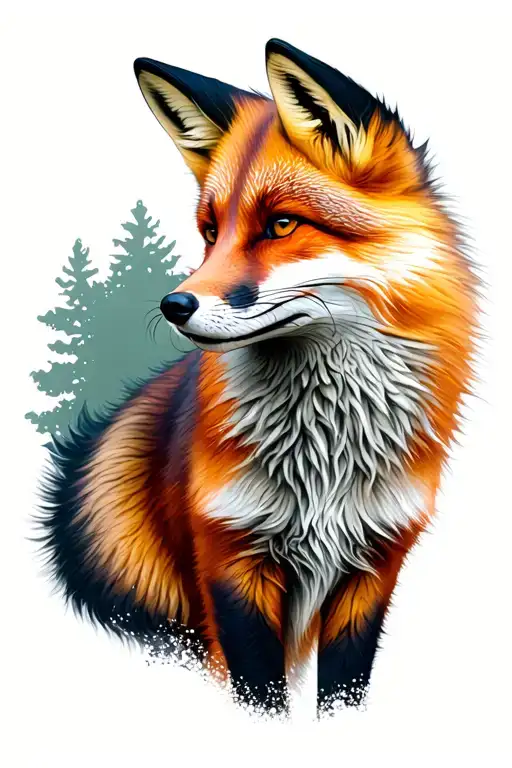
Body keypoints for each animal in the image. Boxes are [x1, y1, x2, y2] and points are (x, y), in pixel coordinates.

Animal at [39, 39, 478, 717]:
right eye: (210, 232)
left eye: (281, 225)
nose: (173, 305)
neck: (324, 465)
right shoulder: (230, 562)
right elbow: (259, 699)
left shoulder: (373, 569)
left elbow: (341, 696)